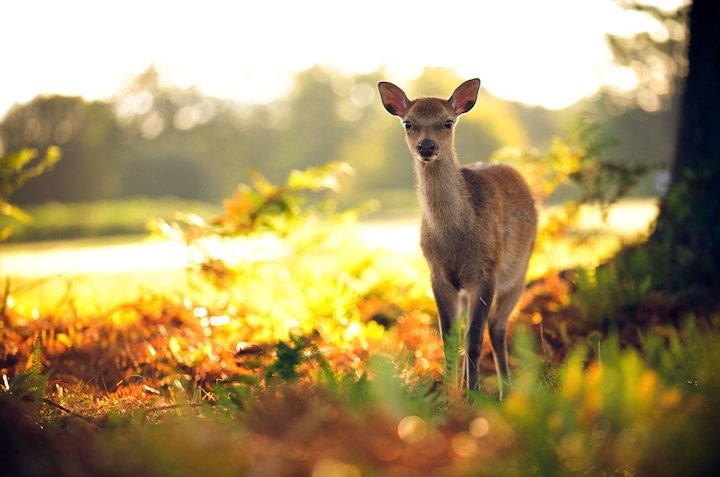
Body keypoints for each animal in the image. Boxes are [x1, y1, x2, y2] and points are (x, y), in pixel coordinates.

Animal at [380, 79, 536, 398]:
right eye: (408, 123)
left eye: (447, 122)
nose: (427, 146)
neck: (455, 241)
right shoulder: (437, 274)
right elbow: (449, 339)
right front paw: (449, 397)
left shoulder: (486, 270)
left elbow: (474, 340)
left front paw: (472, 396)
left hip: (518, 271)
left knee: (497, 327)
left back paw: (504, 391)